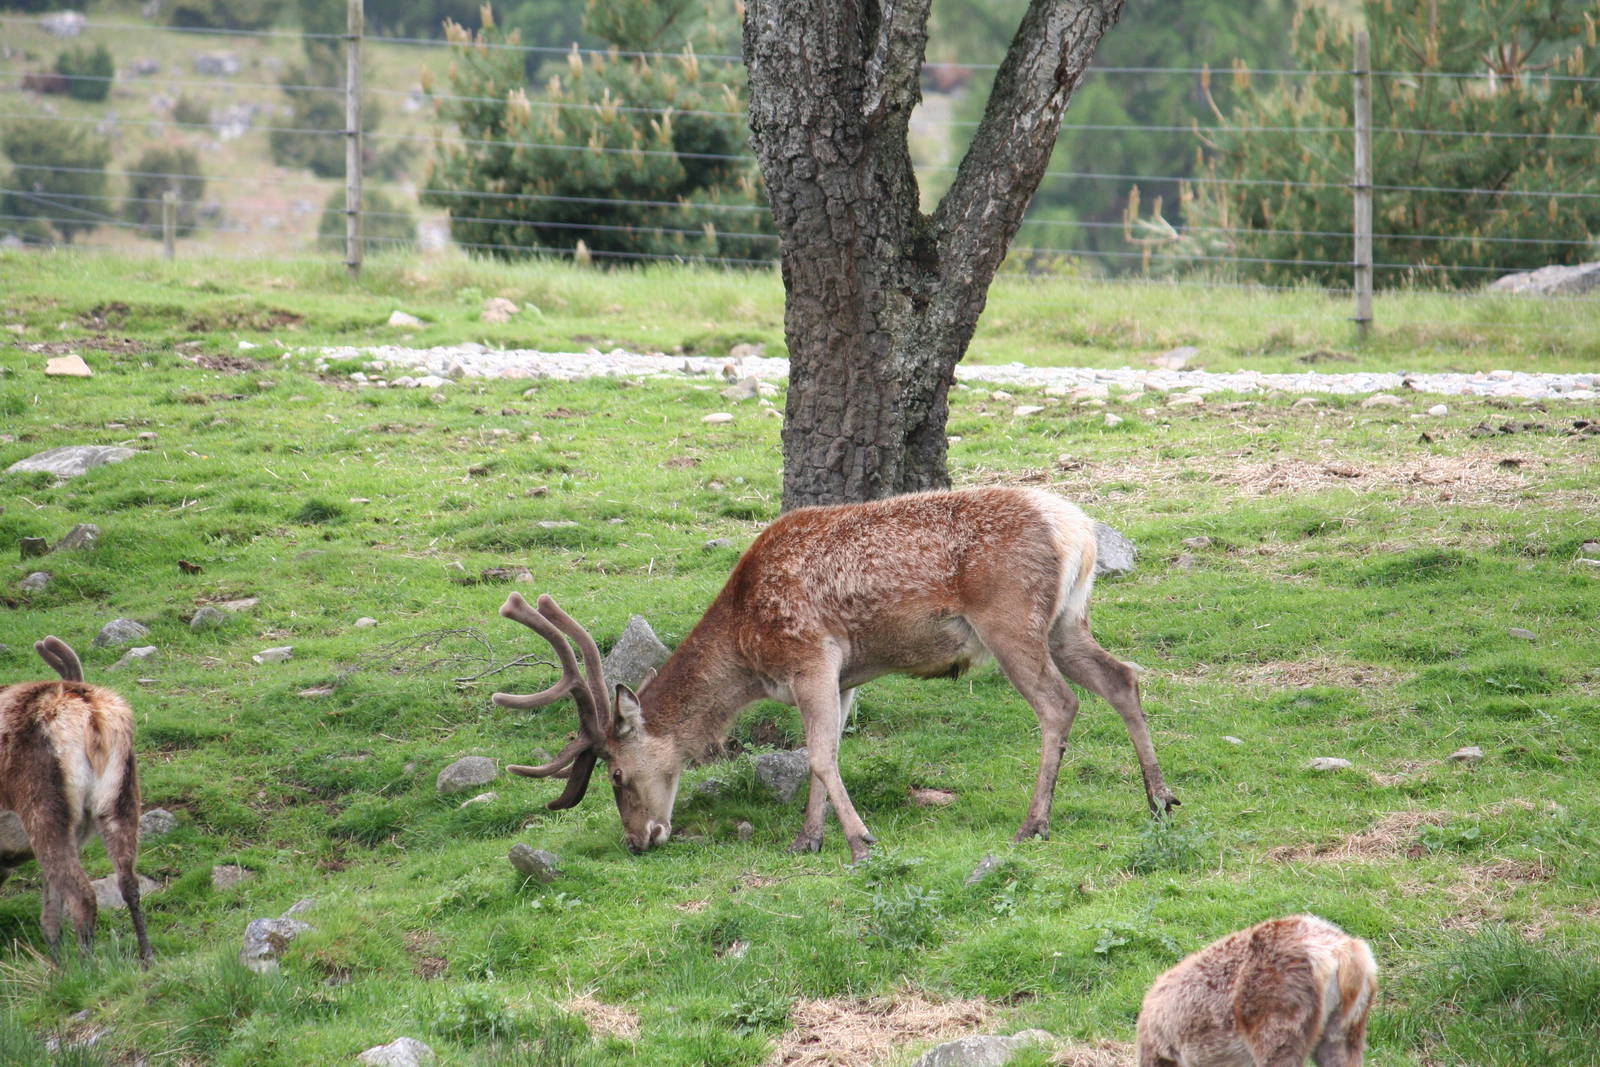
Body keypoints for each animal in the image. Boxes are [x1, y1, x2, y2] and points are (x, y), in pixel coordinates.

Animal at [0, 637, 154, 967]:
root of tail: (92, 714)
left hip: (43, 807)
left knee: (82, 895)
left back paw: (86, 968)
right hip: (119, 797)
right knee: (128, 883)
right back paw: (146, 957)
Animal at [493, 486, 1177, 863]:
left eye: (614, 774)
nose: (640, 840)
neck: (748, 646)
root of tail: (1080, 531)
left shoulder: (809, 654)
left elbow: (819, 755)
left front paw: (859, 842)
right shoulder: (844, 676)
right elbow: (826, 753)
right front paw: (808, 840)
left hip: (1010, 618)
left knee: (1060, 704)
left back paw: (1034, 823)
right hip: (1067, 620)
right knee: (1122, 678)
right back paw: (1160, 798)